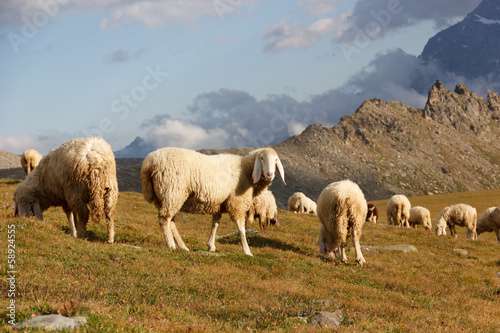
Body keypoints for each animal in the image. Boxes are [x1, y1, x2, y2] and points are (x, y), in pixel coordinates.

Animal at [141, 145, 286, 254]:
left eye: (276, 160)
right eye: (261, 158)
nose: (270, 174)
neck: (247, 171)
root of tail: (149, 162)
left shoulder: (219, 204)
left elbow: (215, 224)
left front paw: (211, 246)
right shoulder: (236, 203)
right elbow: (241, 229)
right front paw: (247, 251)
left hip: (165, 197)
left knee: (171, 221)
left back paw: (182, 246)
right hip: (172, 192)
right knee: (164, 219)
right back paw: (171, 245)